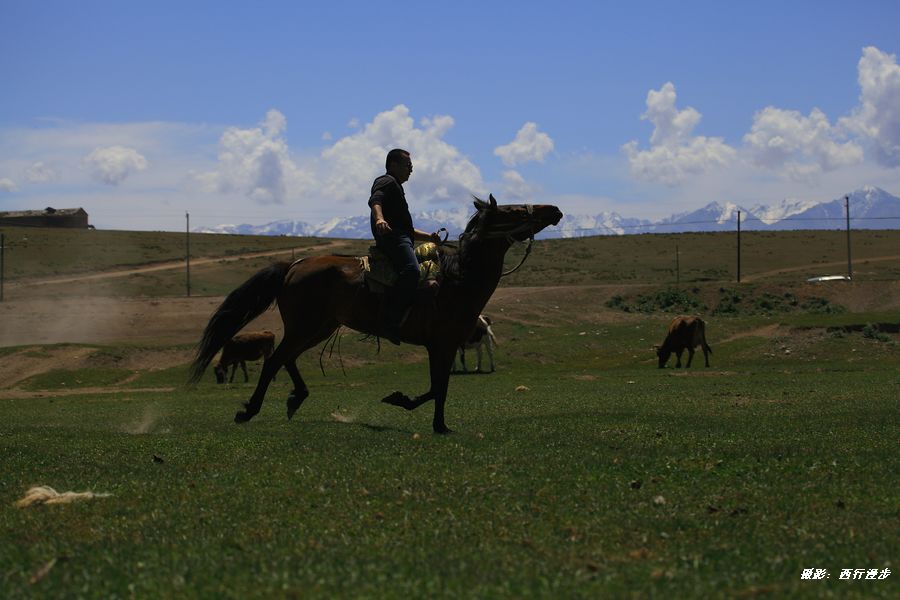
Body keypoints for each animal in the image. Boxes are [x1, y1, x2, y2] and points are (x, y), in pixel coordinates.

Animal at [186, 195, 560, 434]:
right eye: (514, 210)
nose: (554, 209)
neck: (457, 281)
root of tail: (293, 265)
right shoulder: (440, 344)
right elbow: (437, 387)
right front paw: (412, 408)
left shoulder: (447, 345)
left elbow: (439, 387)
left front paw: (436, 422)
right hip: (304, 326)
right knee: (275, 360)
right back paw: (249, 410)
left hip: (320, 327)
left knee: (286, 359)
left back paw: (296, 399)